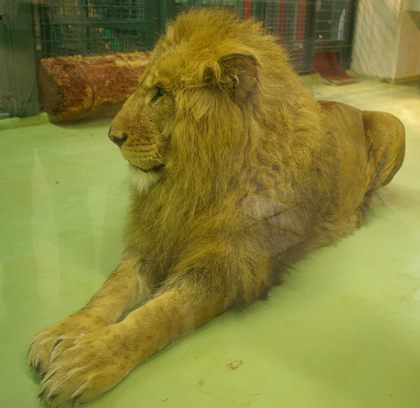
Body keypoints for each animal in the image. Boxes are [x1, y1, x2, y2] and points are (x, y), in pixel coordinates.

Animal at [27, 7, 406, 408]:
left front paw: (88, 359)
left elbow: (157, 317)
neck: (192, 185)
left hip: (392, 125)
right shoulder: (154, 240)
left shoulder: (228, 269)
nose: (112, 137)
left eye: (160, 94)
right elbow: (109, 291)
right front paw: (62, 332)